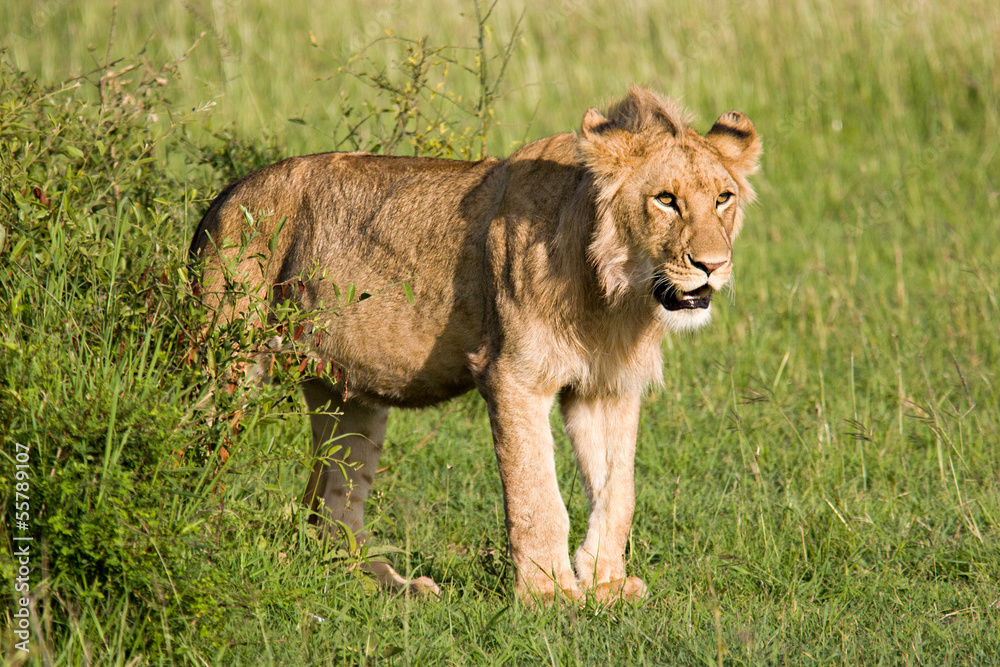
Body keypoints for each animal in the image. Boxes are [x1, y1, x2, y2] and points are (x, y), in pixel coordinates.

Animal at [189, 86, 761, 603]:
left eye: (722, 199)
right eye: (665, 200)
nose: (713, 265)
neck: (615, 292)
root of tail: (224, 195)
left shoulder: (606, 388)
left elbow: (617, 492)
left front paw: (606, 584)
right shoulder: (513, 376)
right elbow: (535, 493)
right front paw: (550, 594)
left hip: (346, 396)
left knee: (331, 507)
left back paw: (392, 586)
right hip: (226, 362)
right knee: (198, 454)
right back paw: (204, 547)